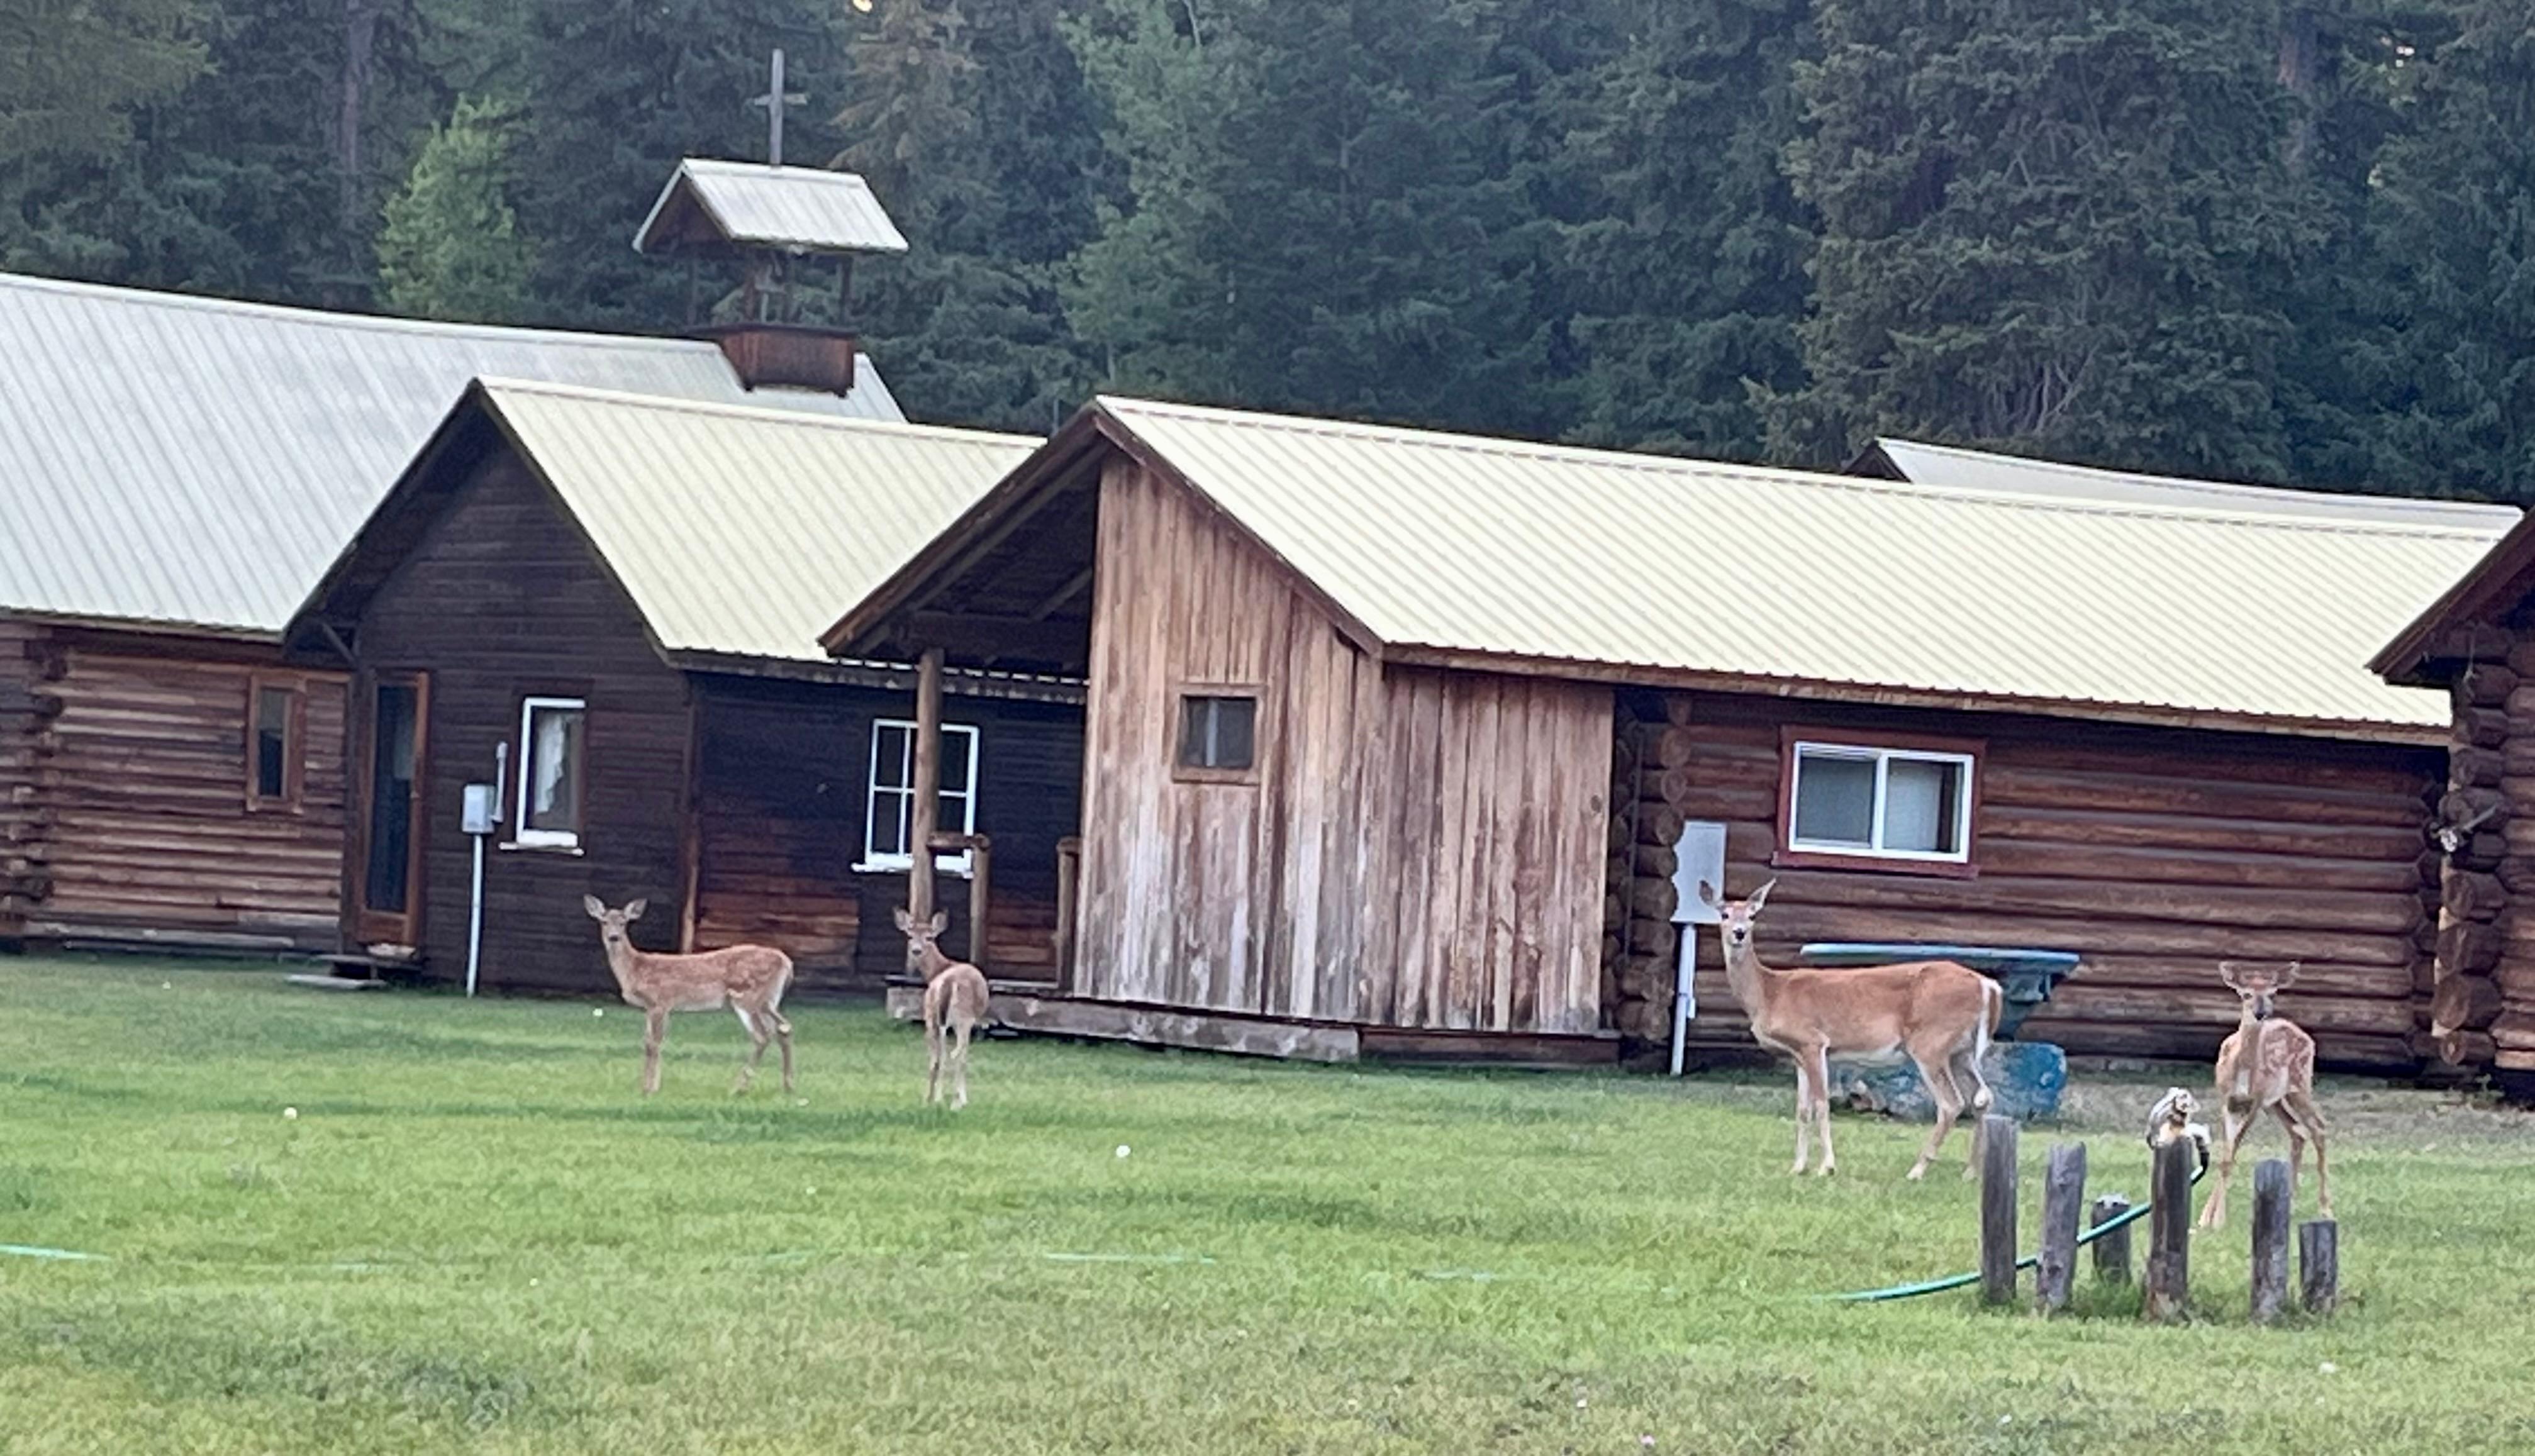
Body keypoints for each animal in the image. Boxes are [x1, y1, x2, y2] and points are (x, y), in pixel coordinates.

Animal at [581, 896, 795, 1097]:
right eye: (604, 921)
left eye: (624, 922)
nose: (614, 937)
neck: (635, 969)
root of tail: (787, 962)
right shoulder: (654, 1008)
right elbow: (651, 1042)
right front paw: (651, 1086)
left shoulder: (660, 1002)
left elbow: (653, 1043)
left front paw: (649, 1089)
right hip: (768, 1000)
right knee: (783, 1028)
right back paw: (788, 1086)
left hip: (746, 997)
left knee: (763, 1035)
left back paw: (739, 1089)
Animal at [895, 906, 989, 1109]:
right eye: (910, 936)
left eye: (929, 937)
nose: (916, 950)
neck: (941, 968)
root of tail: (949, 981)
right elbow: (963, 1055)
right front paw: (963, 1098)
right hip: (963, 1017)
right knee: (957, 1053)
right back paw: (954, 1101)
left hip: (931, 1017)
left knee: (937, 1057)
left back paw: (930, 1099)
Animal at [1699, 880, 2003, 1179]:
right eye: (1724, 914)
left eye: (1752, 915)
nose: (1739, 933)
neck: (1770, 993)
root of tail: (1987, 985)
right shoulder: (1797, 1055)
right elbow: (1802, 1110)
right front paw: (1798, 1167)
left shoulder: (1813, 1042)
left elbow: (1822, 1104)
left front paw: (1827, 1166)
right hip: (1961, 1050)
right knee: (1983, 1099)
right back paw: (1972, 1172)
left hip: (1931, 1042)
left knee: (1953, 1103)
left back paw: (1918, 1170)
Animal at [2197, 960, 2331, 1231]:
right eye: (2246, 994)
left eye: (2273, 993)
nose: (2261, 1013)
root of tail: (2303, 1034)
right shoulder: (2227, 1100)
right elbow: (2226, 1155)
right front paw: (2207, 1218)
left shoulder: (2255, 1102)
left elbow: (2231, 1156)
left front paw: (2216, 1220)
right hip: (2277, 1101)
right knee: (2298, 1133)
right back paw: (2292, 1200)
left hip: (2299, 1085)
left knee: (2318, 1127)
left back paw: (2325, 1209)